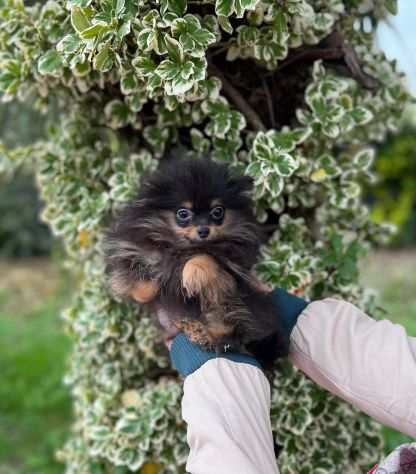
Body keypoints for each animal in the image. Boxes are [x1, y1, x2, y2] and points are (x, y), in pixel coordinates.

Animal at [103, 156, 290, 366]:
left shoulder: (230, 262)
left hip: (238, 302)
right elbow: (142, 276)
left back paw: (204, 334)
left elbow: (203, 256)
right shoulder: (138, 250)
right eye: (183, 213)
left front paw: (191, 275)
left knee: (233, 332)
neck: (181, 247)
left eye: (217, 211)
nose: (203, 230)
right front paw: (148, 289)